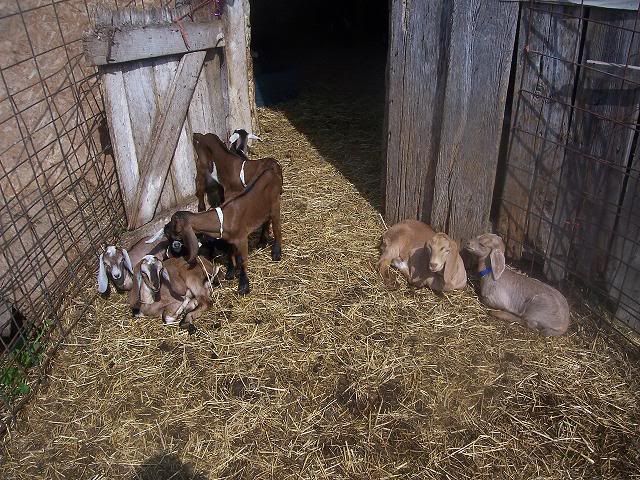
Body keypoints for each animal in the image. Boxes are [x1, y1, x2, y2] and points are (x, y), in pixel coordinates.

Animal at [163, 165, 283, 295]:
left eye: (175, 227)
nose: (164, 229)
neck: (223, 218)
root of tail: (271, 172)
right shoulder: (230, 239)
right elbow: (231, 254)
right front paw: (231, 272)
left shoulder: (242, 239)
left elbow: (243, 261)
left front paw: (243, 285)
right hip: (264, 209)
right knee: (266, 221)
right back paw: (262, 242)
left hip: (275, 206)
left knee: (277, 229)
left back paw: (276, 253)